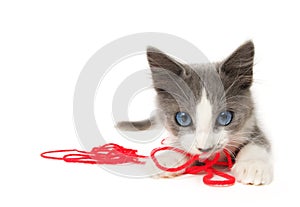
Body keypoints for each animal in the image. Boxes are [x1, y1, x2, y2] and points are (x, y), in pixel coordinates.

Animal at [116, 41, 274, 185]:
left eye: (225, 117)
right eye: (183, 118)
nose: (205, 148)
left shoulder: (252, 122)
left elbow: (258, 140)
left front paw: (253, 165)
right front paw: (167, 158)